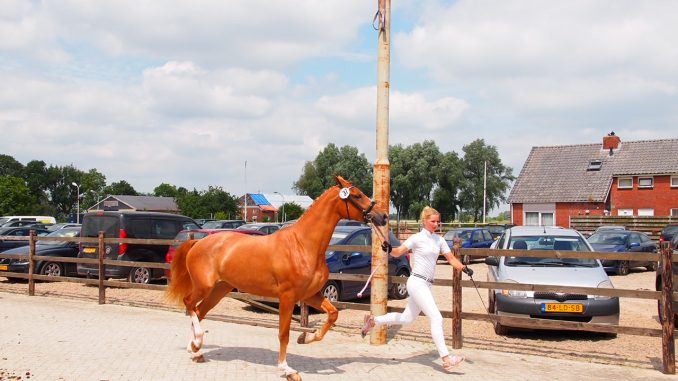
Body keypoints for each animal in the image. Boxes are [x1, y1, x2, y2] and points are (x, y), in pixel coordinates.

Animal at [166, 176, 388, 380]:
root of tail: (197, 243)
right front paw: (287, 369)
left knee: (199, 311)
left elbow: (333, 314)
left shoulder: (310, 295)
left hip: (219, 290)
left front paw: (306, 338)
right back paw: (197, 342)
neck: (302, 245)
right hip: (204, 286)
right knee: (189, 304)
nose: (383, 216)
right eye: (357, 195)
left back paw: (195, 350)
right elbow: (283, 333)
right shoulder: (287, 297)